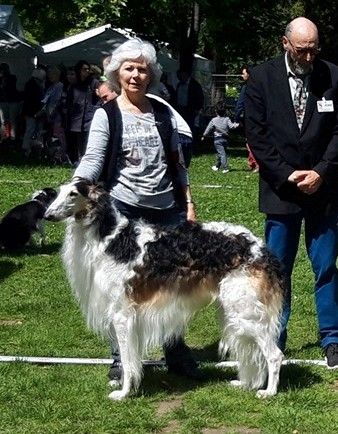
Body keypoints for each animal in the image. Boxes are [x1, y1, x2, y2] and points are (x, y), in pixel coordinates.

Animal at [43, 180, 284, 400]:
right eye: (59, 192)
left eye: (73, 194)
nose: (47, 215)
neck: (112, 239)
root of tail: (260, 247)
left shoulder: (122, 315)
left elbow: (128, 361)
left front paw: (124, 392)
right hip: (233, 310)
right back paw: (245, 383)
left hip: (245, 311)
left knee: (275, 355)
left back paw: (269, 391)